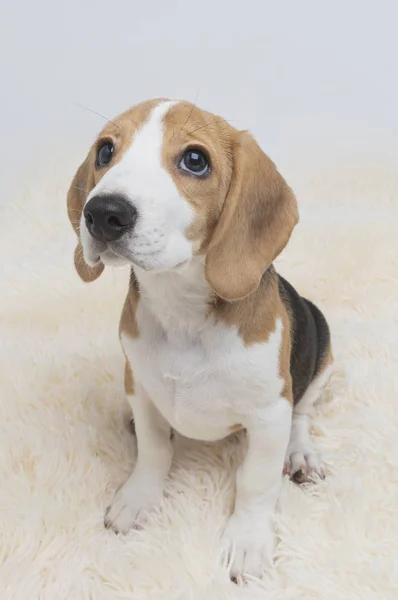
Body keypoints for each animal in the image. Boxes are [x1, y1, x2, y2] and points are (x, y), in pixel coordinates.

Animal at [67, 99, 332, 580]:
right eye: (105, 151)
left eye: (195, 160)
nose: (103, 214)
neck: (182, 312)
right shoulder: (139, 385)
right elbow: (153, 450)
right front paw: (138, 500)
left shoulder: (269, 415)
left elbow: (256, 482)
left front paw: (247, 541)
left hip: (321, 347)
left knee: (302, 413)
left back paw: (301, 453)